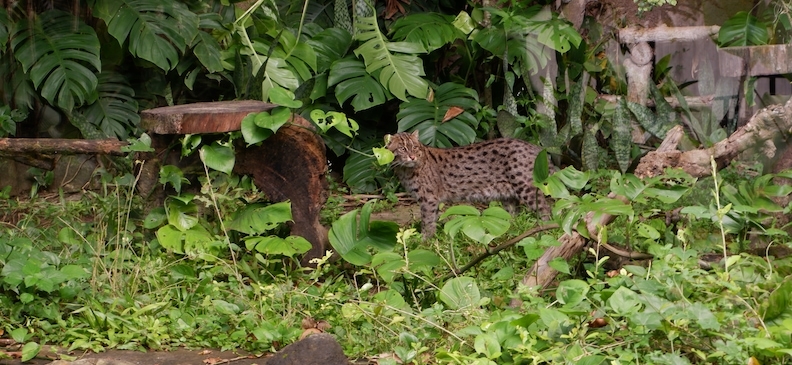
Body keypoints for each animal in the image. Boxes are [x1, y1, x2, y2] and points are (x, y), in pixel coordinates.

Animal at [386, 129, 552, 237]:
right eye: (402, 149)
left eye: (414, 147)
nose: (412, 157)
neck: (405, 170)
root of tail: (533, 146)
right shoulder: (432, 201)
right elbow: (433, 220)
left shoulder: (428, 199)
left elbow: (427, 222)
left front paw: (425, 243)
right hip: (508, 195)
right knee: (512, 216)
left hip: (525, 186)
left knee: (546, 209)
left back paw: (546, 230)